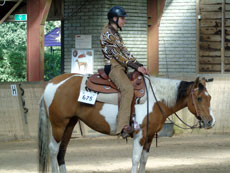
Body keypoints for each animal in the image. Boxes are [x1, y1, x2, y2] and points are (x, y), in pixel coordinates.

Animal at [38, 73, 216, 173]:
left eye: (210, 98)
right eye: (199, 98)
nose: (210, 121)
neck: (156, 98)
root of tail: (51, 84)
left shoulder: (149, 135)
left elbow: (144, 160)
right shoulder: (140, 135)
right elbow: (135, 159)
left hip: (70, 124)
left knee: (62, 152)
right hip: (59, 125)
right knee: (53, 150)